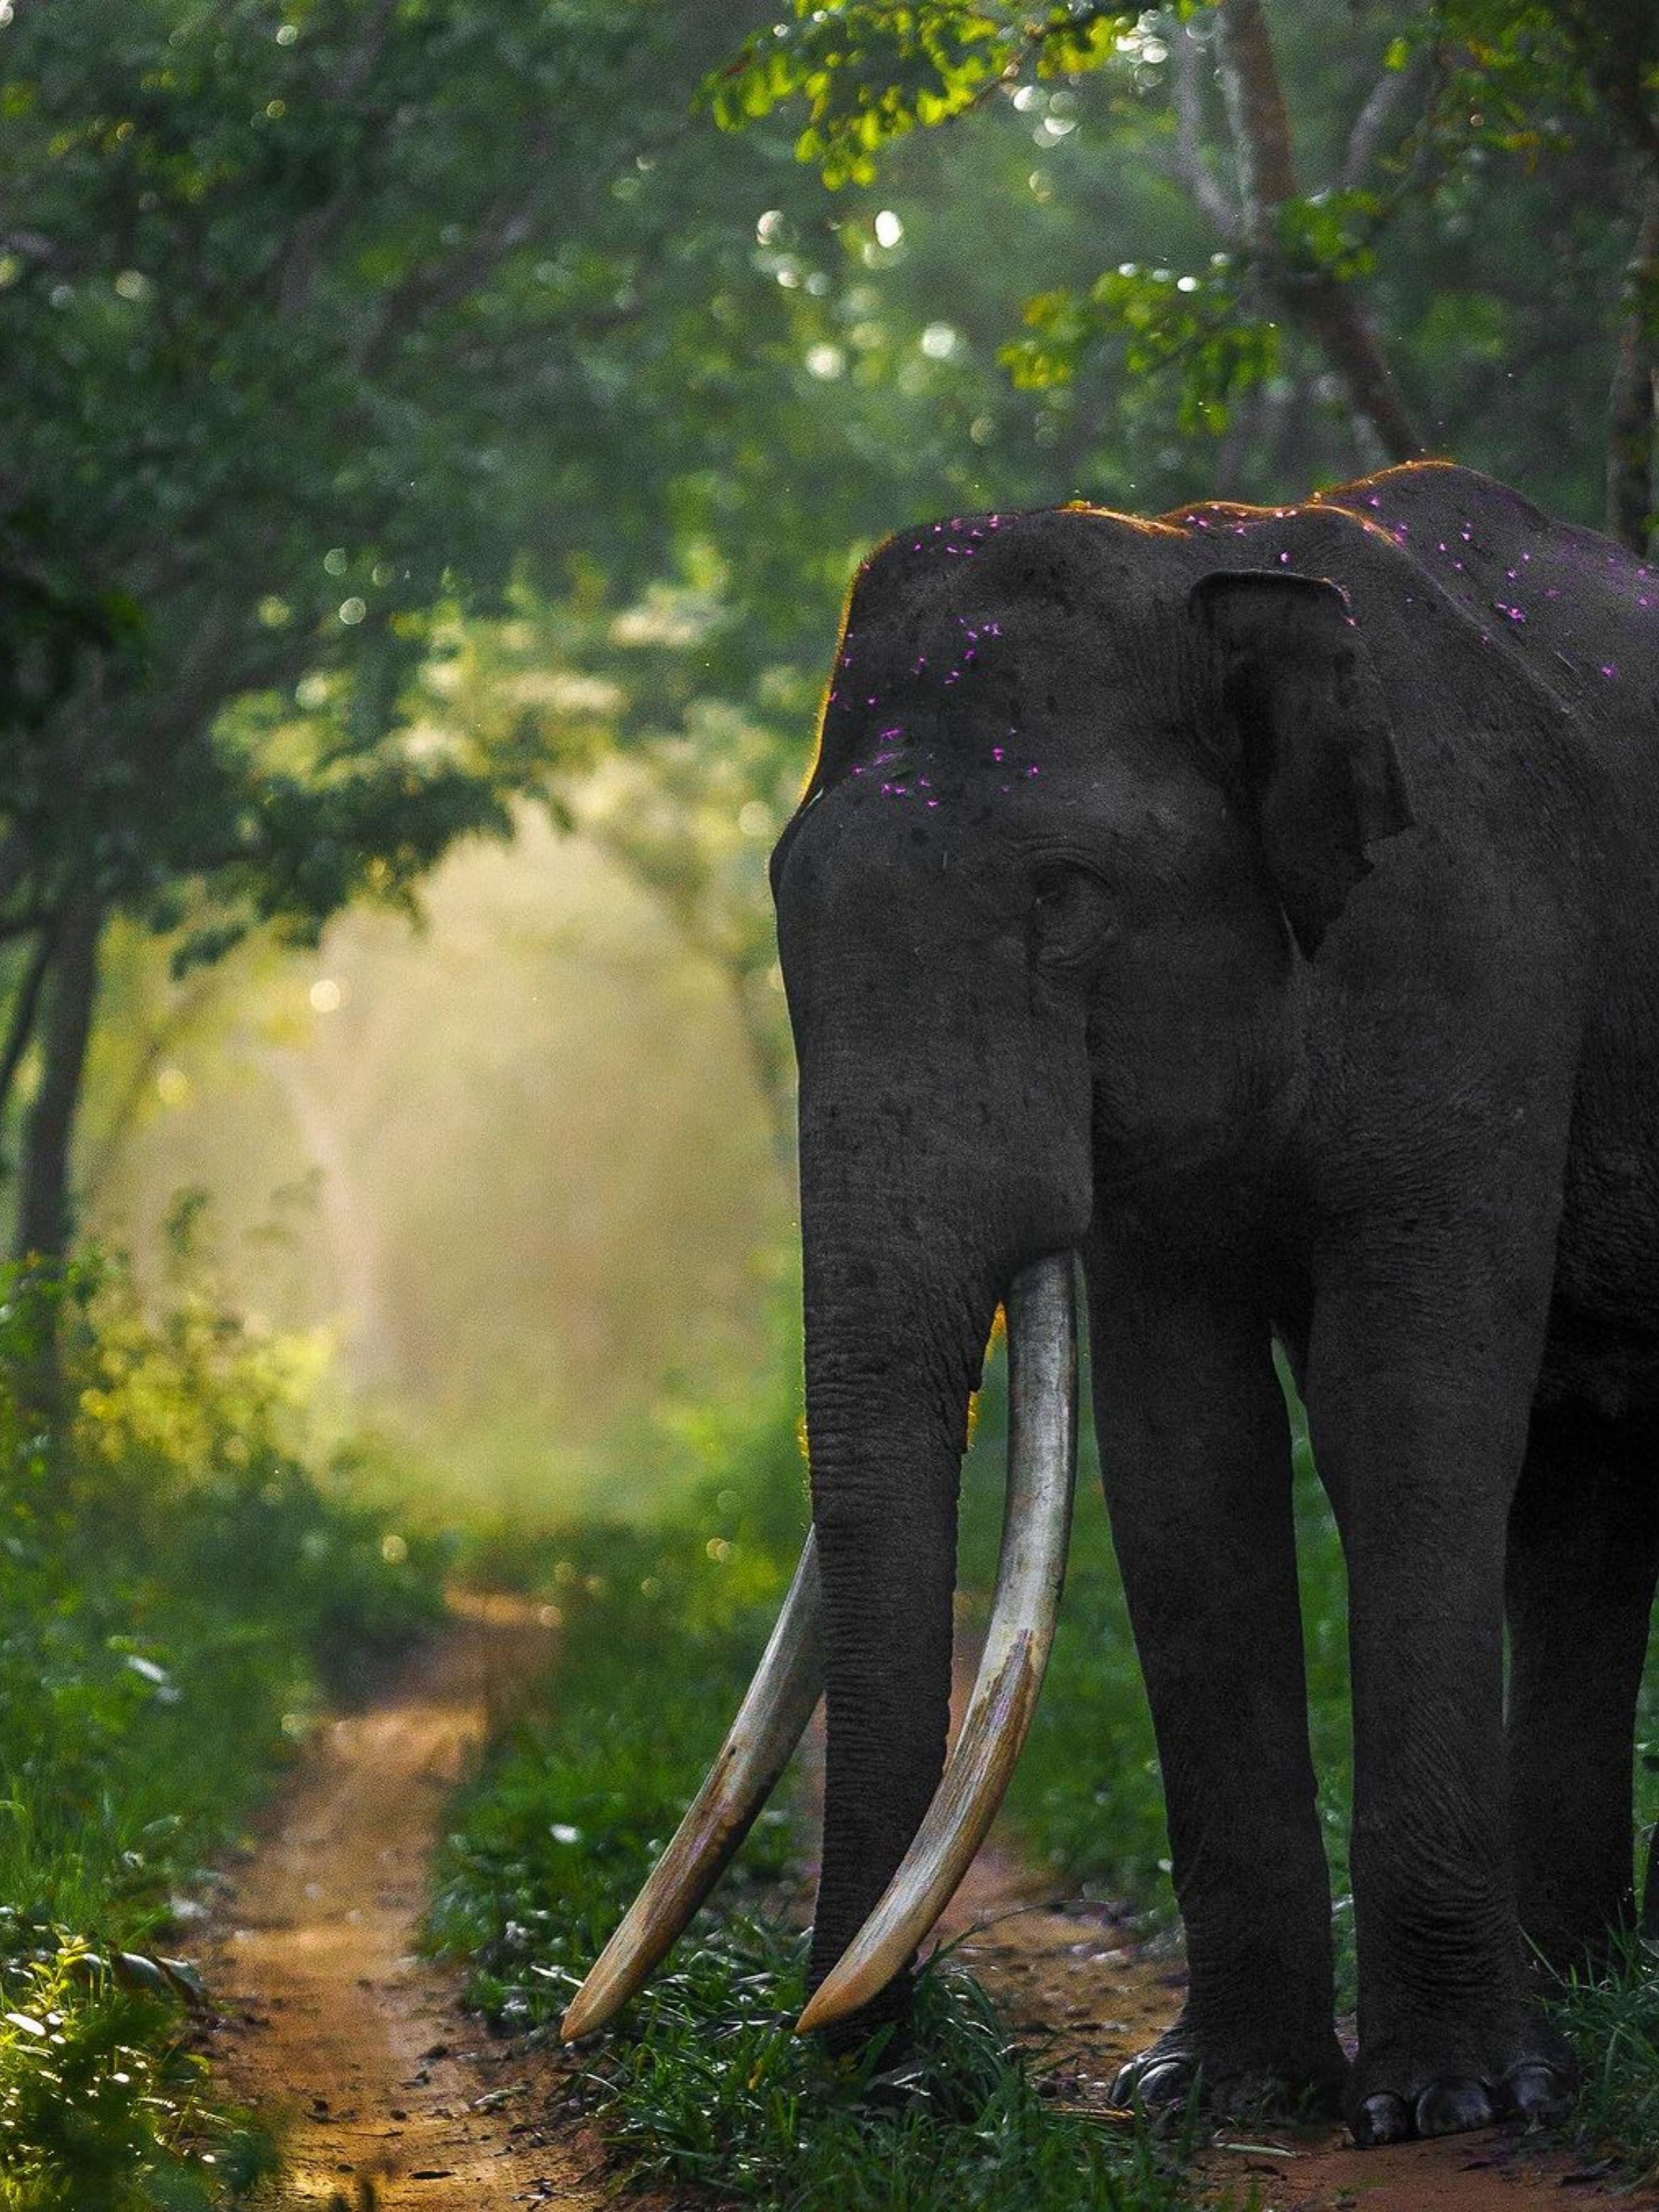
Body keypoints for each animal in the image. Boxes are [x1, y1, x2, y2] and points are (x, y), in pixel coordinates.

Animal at [563, 459, 1659, 2148]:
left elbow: (1405, 1416)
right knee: (1586, 1498)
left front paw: (1458, 2103)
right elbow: (1183, 1452)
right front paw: (1217, 2092)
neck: (1204, 563)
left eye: (1063, 894)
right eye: (782, 895)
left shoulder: (1479, 959)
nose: (883, 2073)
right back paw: (1584, 1983)